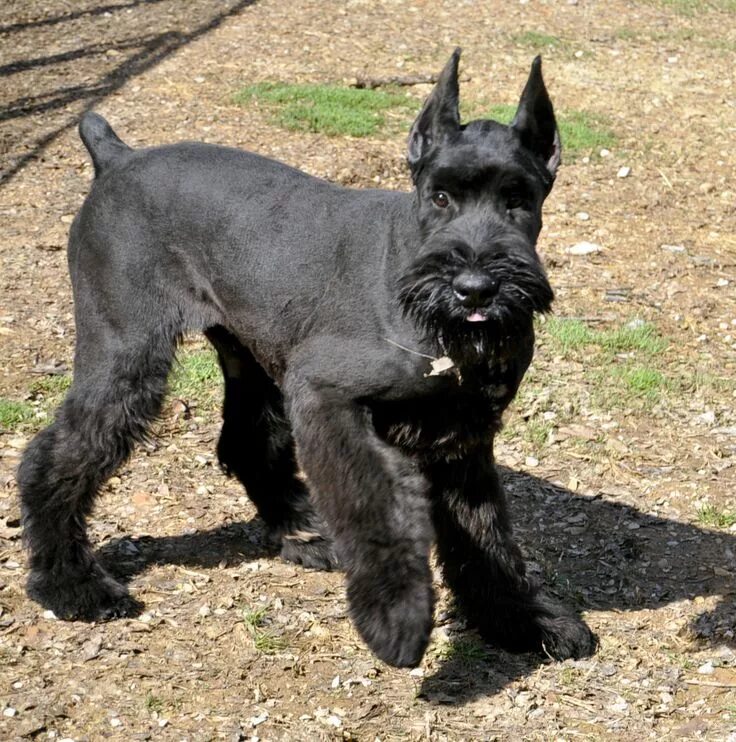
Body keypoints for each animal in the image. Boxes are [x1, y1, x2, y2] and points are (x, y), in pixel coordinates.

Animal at [17, 50, 596, 668]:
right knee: (54, 458)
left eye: (519, 200)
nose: (475, 290)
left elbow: (486, 535)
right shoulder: (326, 398)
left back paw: (302, 533)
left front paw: (523, 620)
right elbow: (374, 507)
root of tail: (117, 158)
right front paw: (396, 617)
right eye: (439, 197)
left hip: (248, 353)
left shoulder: (460, 438)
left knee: (246, 442)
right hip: (126, 353)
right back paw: (71, 584)